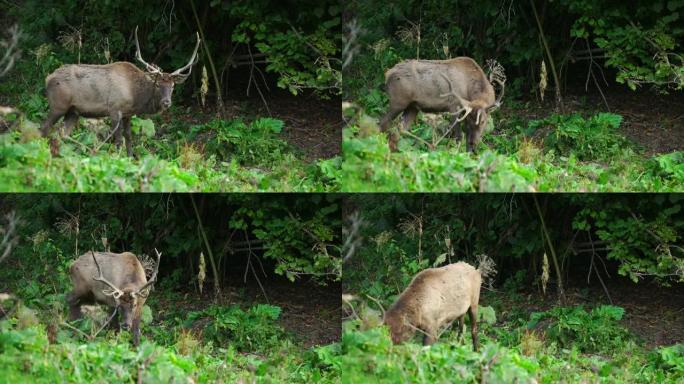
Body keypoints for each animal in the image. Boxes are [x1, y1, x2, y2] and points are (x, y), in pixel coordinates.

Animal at [41, 27, 200, 157]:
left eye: (173, 86)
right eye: (157, 85)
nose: (166, 102)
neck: (136, 96)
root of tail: (48, 78)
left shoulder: (128, 114)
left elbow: (128, 137)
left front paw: (130, 158)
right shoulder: (114, 109)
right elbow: (118, 139)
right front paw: (118, 158)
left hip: (73, 111)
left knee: (62, 133)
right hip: (58, 105)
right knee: (45, 129)